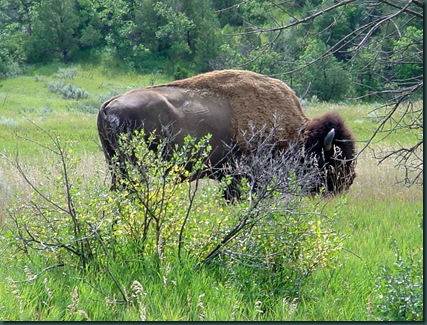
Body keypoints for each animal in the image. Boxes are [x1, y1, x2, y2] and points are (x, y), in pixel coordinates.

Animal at [98, 69, 358, 199]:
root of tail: (109, 104)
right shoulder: (240, 176)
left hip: (115, 165)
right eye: (331, 158)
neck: (296, 135)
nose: (347, 181)